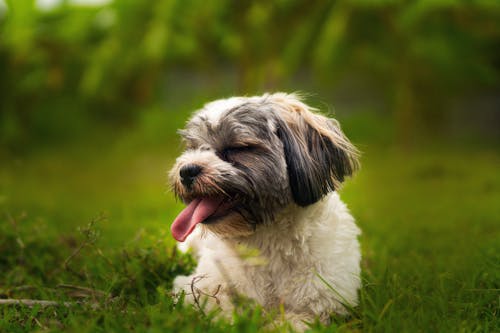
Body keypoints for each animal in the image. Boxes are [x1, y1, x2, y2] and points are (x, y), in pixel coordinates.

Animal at [170, 92, 362, 330]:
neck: (265, 240)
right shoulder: (196, 288)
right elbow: (218, 308)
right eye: (193, 147)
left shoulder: (322, 305)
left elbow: (287, 323)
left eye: (236, 148)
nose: (186, 170)